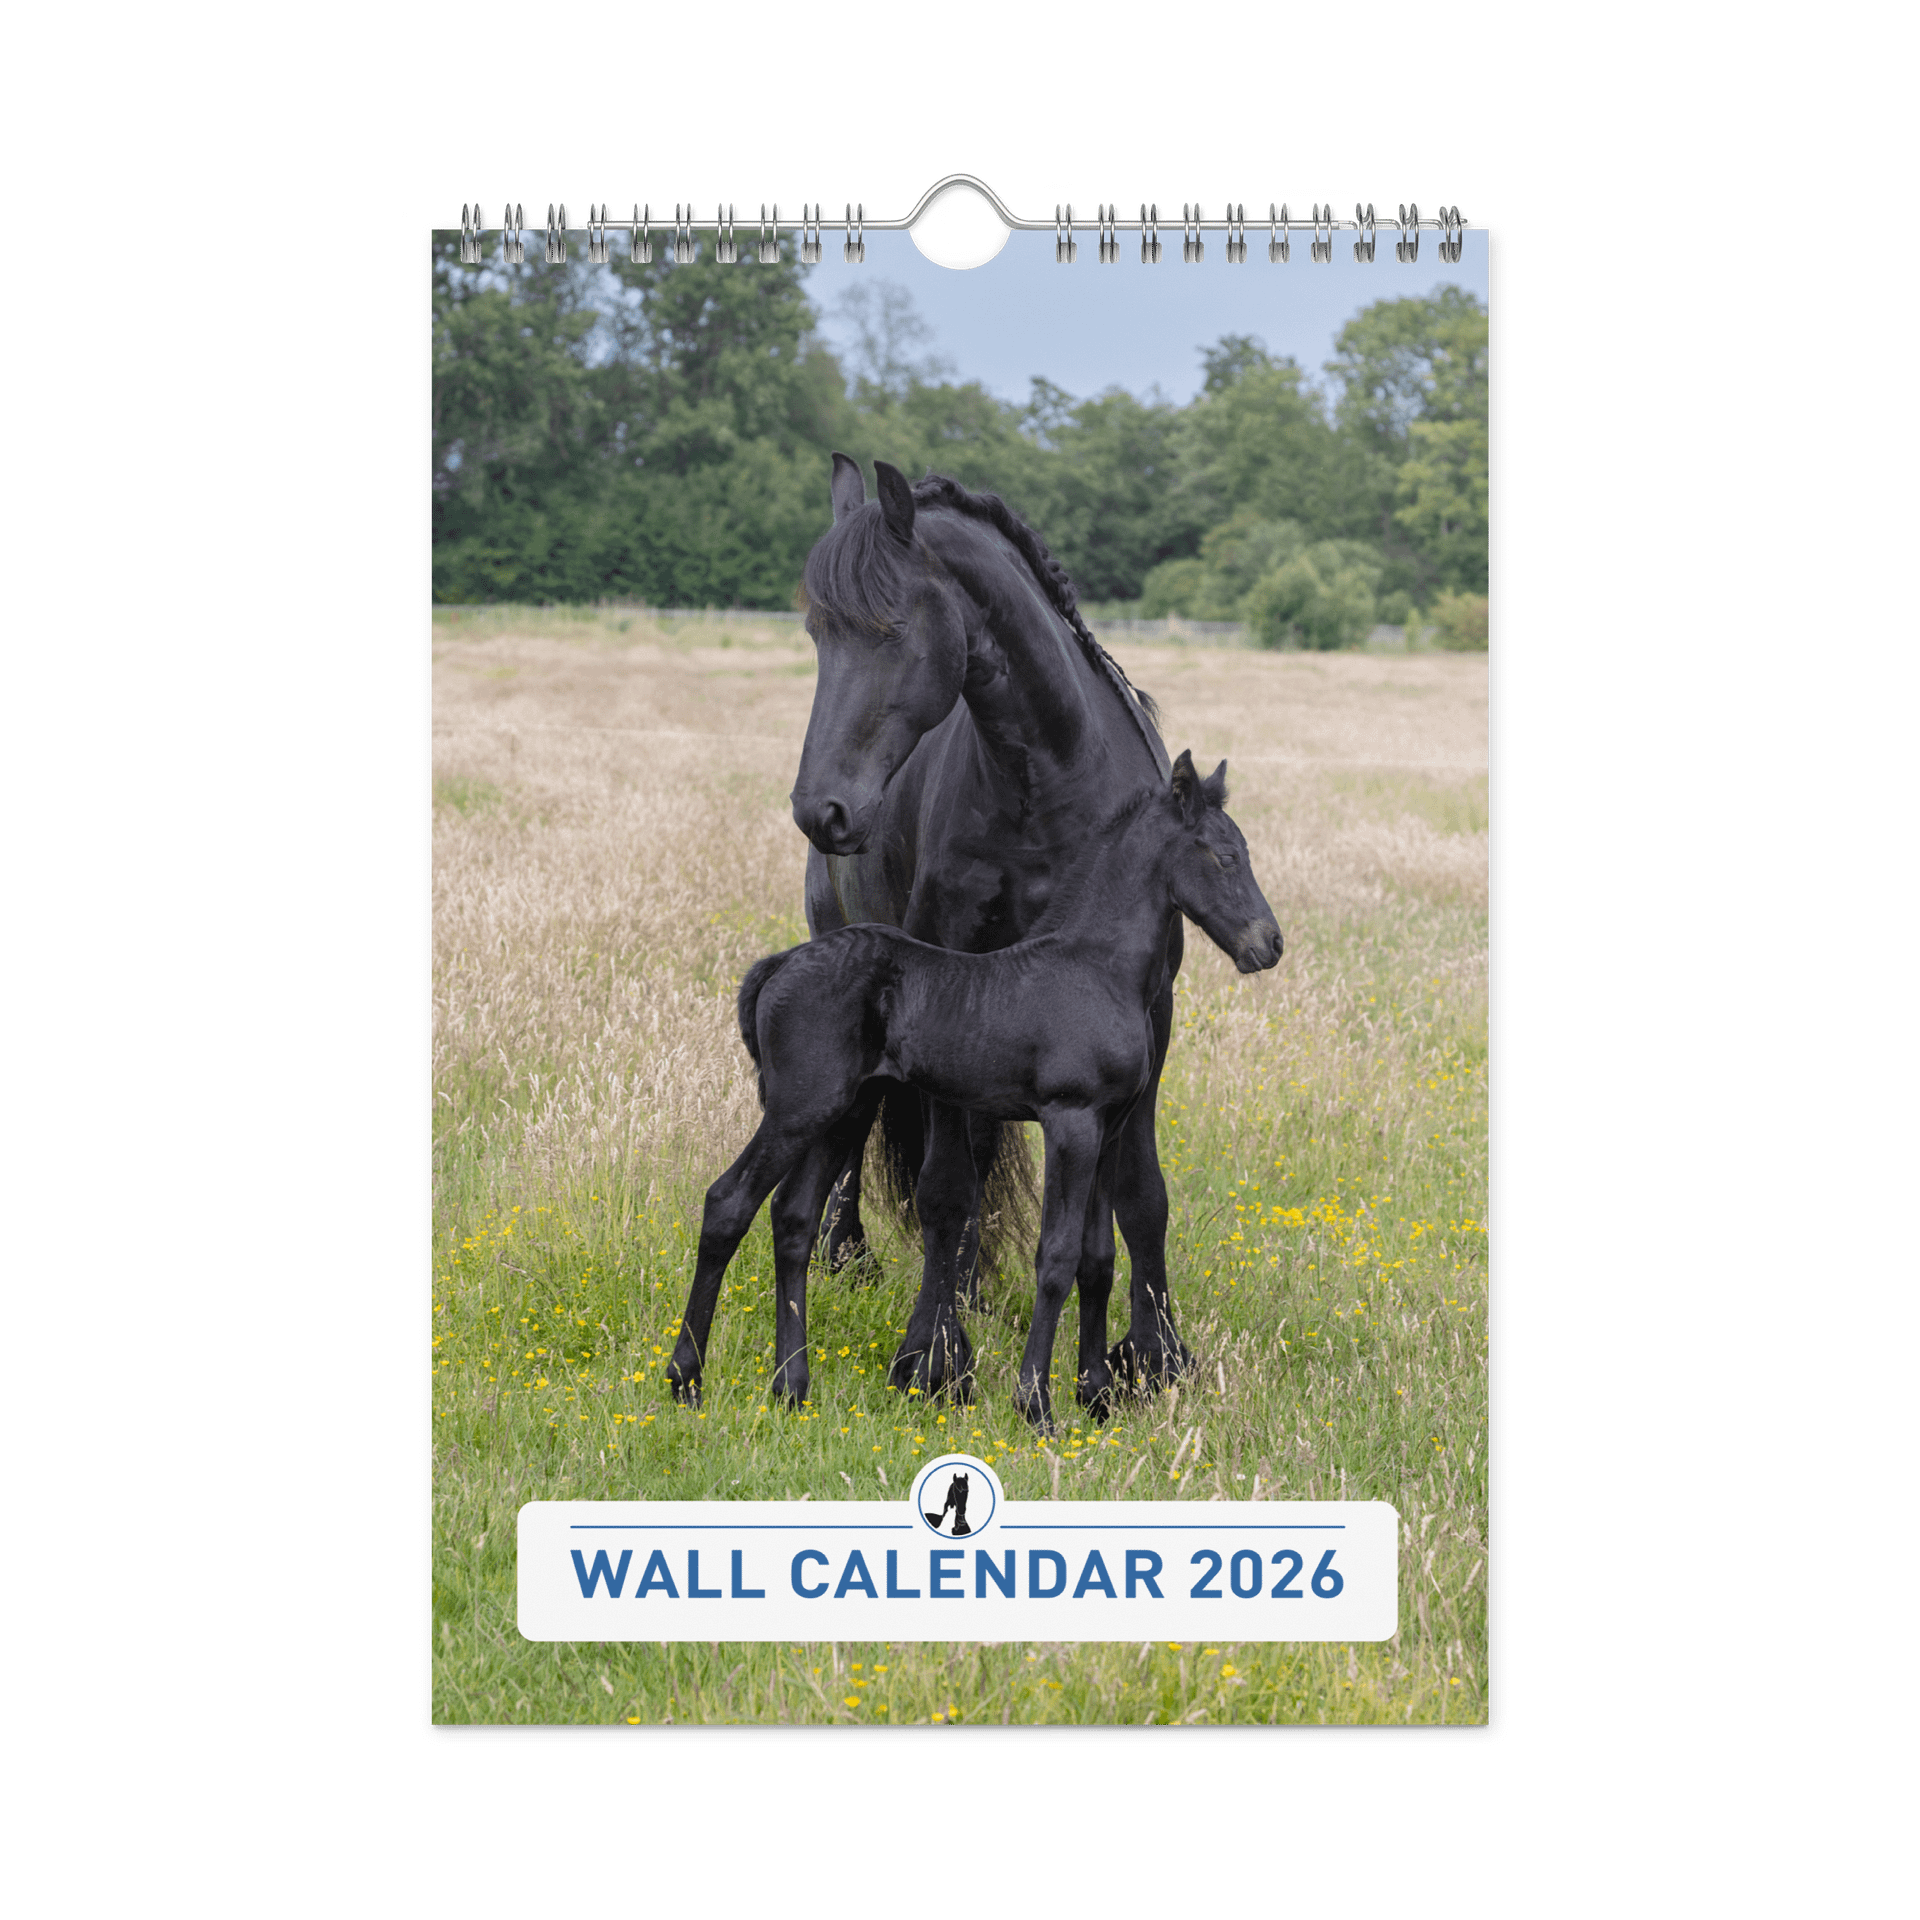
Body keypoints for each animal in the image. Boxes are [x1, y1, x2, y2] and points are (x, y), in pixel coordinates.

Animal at [665, 750, 1282, 1430]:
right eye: (1224, 856)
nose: (1269, 945)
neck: (1097, 965)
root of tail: (778, 965)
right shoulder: (1071, 1120)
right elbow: (1056, 1258)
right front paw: (1036, 1404)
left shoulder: (1109, 1127)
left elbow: (1097, 1259)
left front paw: (1095, 1394)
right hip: (799, 1108)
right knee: (728, 1202)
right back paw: (686, 1380)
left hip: (845, 1112)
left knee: (794, 1220)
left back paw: (791, 1388)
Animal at [792, 455, 1192, 1403]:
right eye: (818, 632)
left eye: (890, 628)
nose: (821, 810)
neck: (1052, 783)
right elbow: (944, 1188)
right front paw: (933, 1358)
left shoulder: (1149, 1013)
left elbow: (1140, 1192)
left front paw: (1157, 1355)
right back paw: (850, 1257)